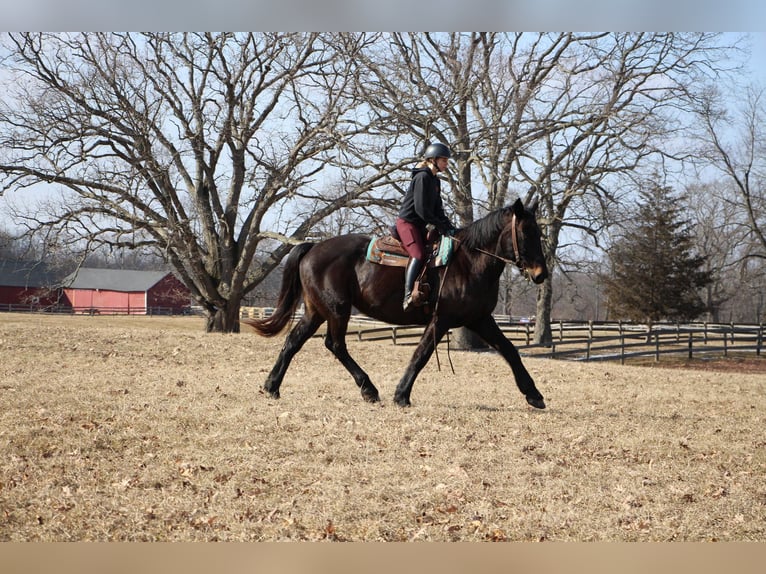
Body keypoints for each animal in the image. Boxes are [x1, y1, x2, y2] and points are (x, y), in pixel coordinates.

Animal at [243, 199, 548, 410]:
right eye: (526, 233)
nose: (541, 274)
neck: (469, 262)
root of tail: (312, 247)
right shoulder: (441, 320)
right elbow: (421, 355)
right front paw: (401, 395)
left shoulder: (480, 319)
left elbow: (509, 351)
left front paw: (534, 394)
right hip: (337, 310)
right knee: (335, 344)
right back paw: (368, 389)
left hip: (316, 311)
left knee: (294, 342)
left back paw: (272, 386)